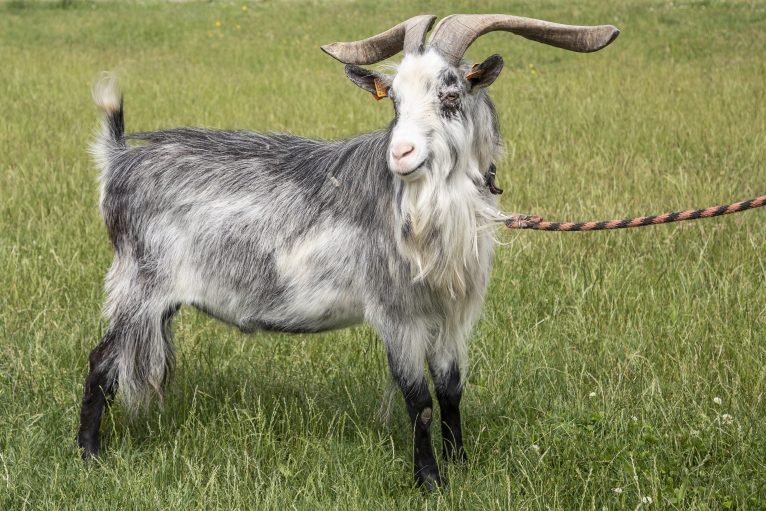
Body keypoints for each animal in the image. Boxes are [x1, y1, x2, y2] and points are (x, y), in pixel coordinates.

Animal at [77, 14, 619, 488]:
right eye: (393, 100)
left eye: (450, 94)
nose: (400, 154)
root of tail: (119, 159)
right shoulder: (398, 314)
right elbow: (419, 400)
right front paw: (430, 481)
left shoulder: (448, 315)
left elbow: (450, 391)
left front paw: (462, 465)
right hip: (139, 287)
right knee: (101, 362)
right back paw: (88, 454)